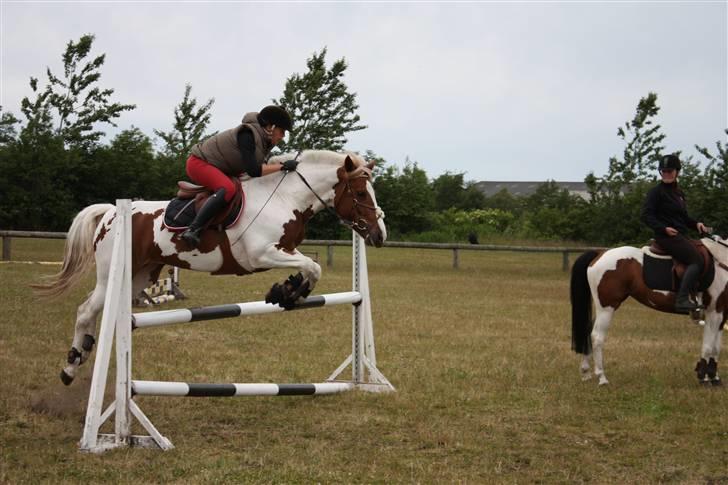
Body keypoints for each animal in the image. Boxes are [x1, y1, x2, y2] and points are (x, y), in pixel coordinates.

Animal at [32, 149, 386, 384]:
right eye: (359, 192)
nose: (380, 235)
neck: (285, 197)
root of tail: (109, 213)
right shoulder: (260, 254)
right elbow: (313, 267)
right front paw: (287, 292)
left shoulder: (284, 249)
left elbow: (310, 266)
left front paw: (287, 290)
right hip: (112, 274)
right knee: (85, 311)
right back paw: (71, 365)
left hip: (139, 275)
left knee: (98, 311)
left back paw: (85, 352)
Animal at [572, 235, 724, 386]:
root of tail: (600, 253)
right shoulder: (714, 312)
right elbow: (709, 346)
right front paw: (705, 378)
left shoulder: (721, 314)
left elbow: (716, 347)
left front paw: (715, 377)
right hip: (606, 309)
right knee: (597, 336)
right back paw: (602, 377)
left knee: (587, 332)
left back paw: (585, 372)